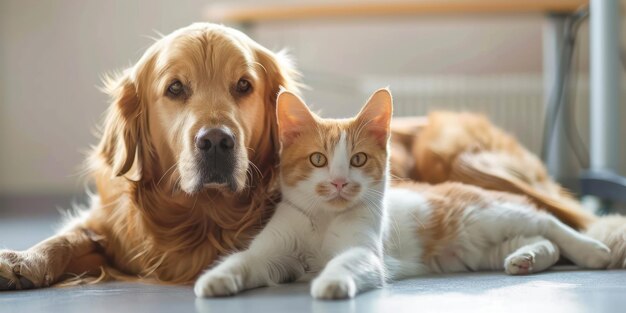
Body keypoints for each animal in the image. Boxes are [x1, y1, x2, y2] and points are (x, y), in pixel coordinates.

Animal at [193, 89, 608, 298]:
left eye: (358, 159)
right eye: (318, 159)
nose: (340, 182)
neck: (324, 218)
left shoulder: (364, 251)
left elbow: (345, 262)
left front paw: (330, 282)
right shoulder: (273, 251)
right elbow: (247, 260)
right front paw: (216, 279)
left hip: (489, 213)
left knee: (549, 221)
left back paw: (594, 250)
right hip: (476, 247)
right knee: (536, 238)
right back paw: (526, 258)